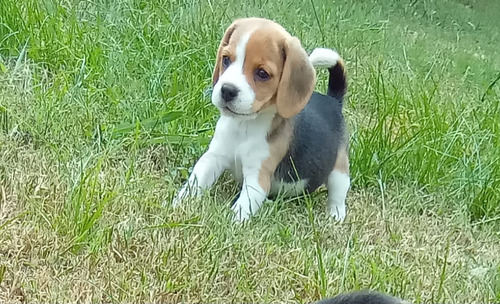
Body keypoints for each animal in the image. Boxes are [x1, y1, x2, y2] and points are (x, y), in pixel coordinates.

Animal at [174, 17, 350, 221]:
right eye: (226, 59)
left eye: (262, 73)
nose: (227, 90)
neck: (244, 126)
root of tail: (333, 100)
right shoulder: (213, 158)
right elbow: (195, 182)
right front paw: (178, 204)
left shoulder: (257, 178)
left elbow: (242, 207)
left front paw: (232, 223)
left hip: (339, 170)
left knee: (338, 194)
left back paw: (335, 216)